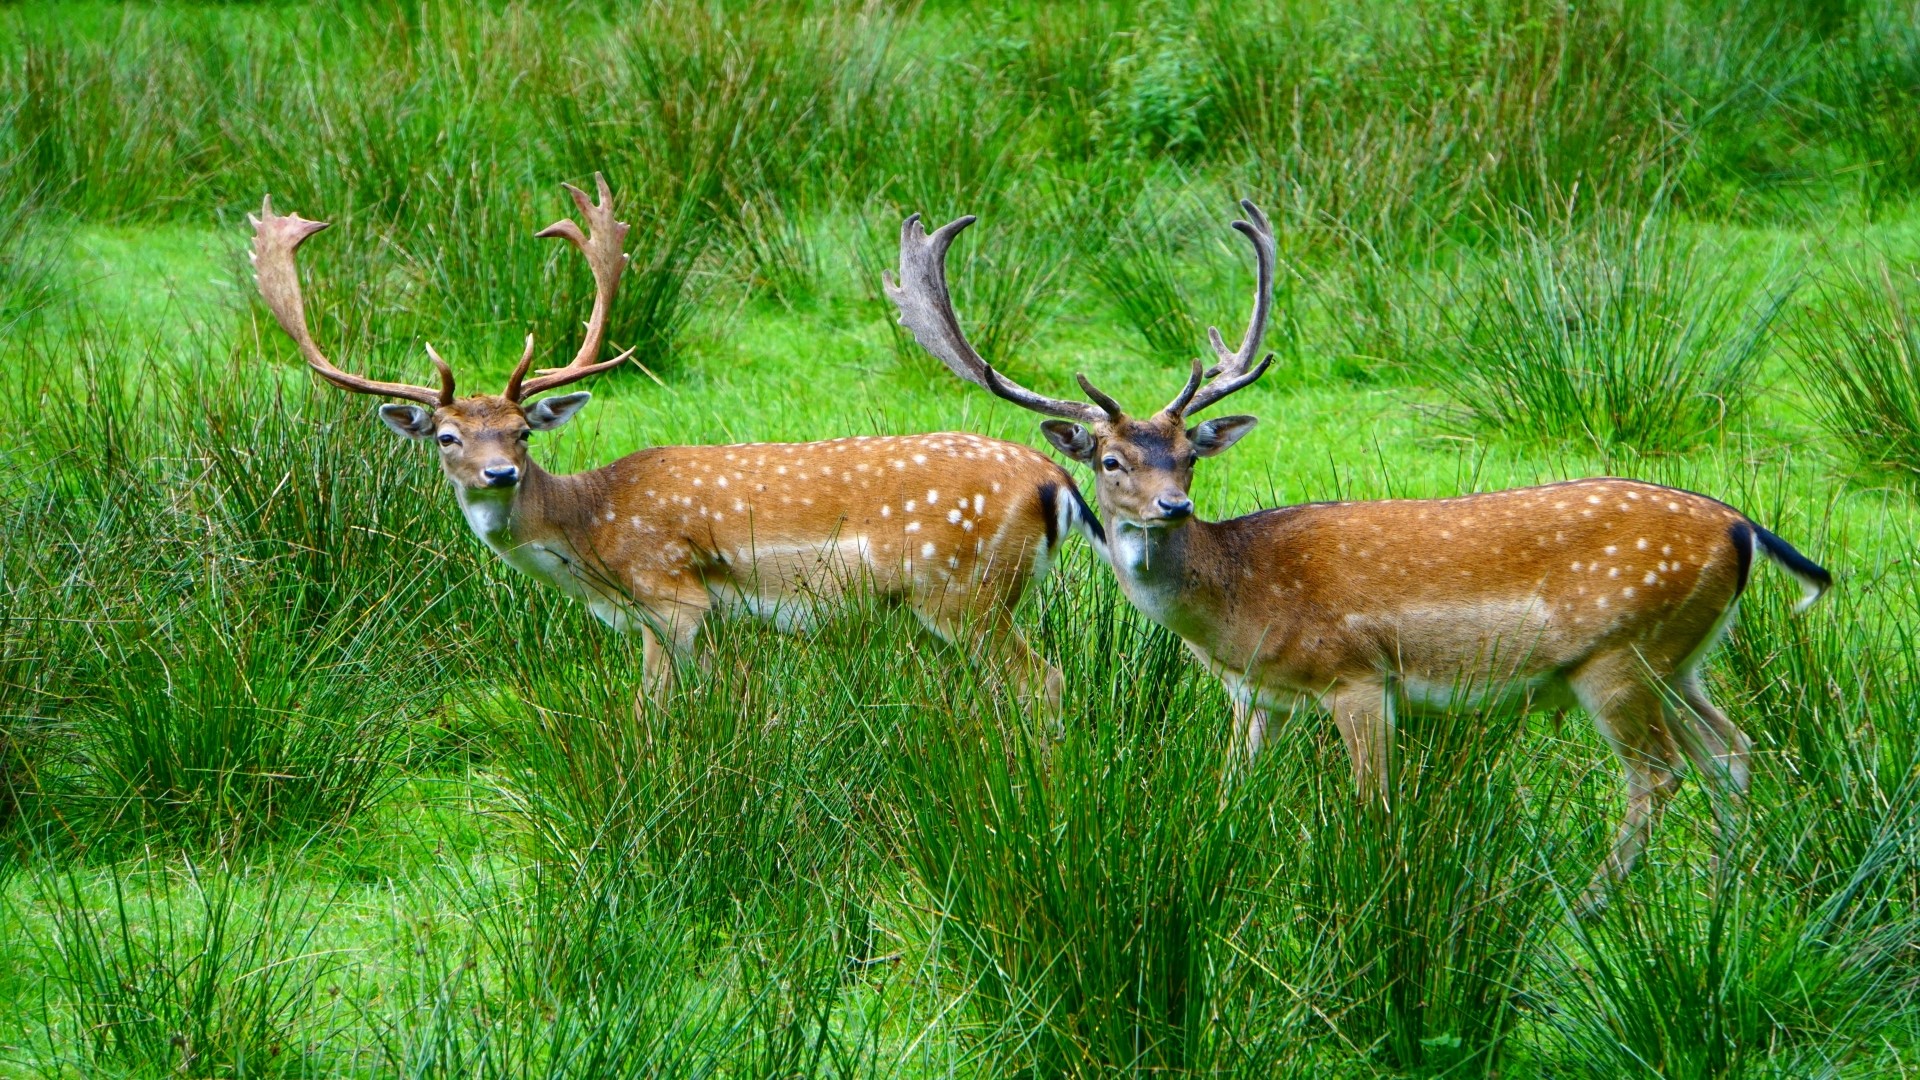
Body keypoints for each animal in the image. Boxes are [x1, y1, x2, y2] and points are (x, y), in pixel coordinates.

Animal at [248, 175, 1102, 720]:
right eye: (449, 436)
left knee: (1047, 681)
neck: (591, 539)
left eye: (522, 432)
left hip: (963, 590)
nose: (498, 472)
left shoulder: (670, 596)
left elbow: (652, 711)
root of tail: (1056, 480)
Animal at [887, 200, 1833, 905]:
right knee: (1735, 750)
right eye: (1112, 460)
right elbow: (1227, 797)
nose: (1172, 505)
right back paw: (1722, 895)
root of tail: (1743, 529)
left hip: (1619, 654)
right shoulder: (1256, 696)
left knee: (1660, 776)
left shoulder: (1358, 675)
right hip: (1682, 656)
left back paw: (1588, 906)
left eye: (1189, 452)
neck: (1239, 605)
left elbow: (1373, 806)